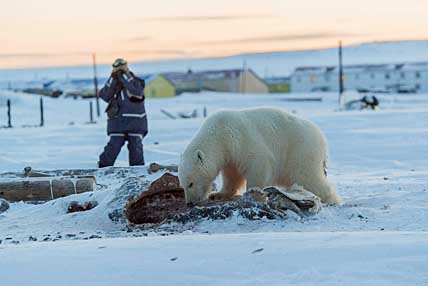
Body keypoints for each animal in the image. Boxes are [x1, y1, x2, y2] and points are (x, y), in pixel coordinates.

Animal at [177, 106, 342, 204]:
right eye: (182, 185)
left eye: (191, 183)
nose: (189, 202)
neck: (218, 133)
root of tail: (322, 140)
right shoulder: (229, 155)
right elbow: (231, 176)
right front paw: (217, 194)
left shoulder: (240, 139)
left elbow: (258, 165)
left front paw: (253, 195)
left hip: (300, 150)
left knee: (307, 176)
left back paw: (331, 200)